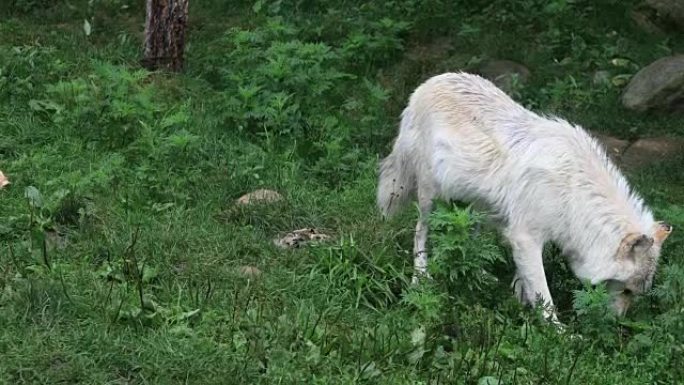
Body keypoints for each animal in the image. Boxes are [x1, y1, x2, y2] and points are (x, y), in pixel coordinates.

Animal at [380, 72, 672, 320]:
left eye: (633, 293)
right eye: (626, 290)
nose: (616, 322)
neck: (573, 191)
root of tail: (425, 85)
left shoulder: (519, 236)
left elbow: (525, 278)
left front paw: (520, 300)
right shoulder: (526, 236)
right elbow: (544, 295)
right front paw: (558, 334)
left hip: (478, 208)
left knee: (472, 241)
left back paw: (480, 274)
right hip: (430, 197)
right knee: (419, 232)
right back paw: (420, 278)